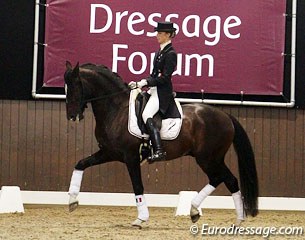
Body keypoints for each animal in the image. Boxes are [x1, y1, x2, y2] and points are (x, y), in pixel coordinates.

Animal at [63, 61, 256, 227]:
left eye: (75, 86)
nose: (72, 116)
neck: (116, 109)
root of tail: (226, 116)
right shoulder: (109, 153)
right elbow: (80, 164)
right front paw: (72, 200)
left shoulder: (131, 157)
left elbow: (138, 186)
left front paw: (141, 219)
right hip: (211, 158)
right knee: (223, 179)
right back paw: (204, 213)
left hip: (208, 158)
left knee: (225, 179)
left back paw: (229, 217)